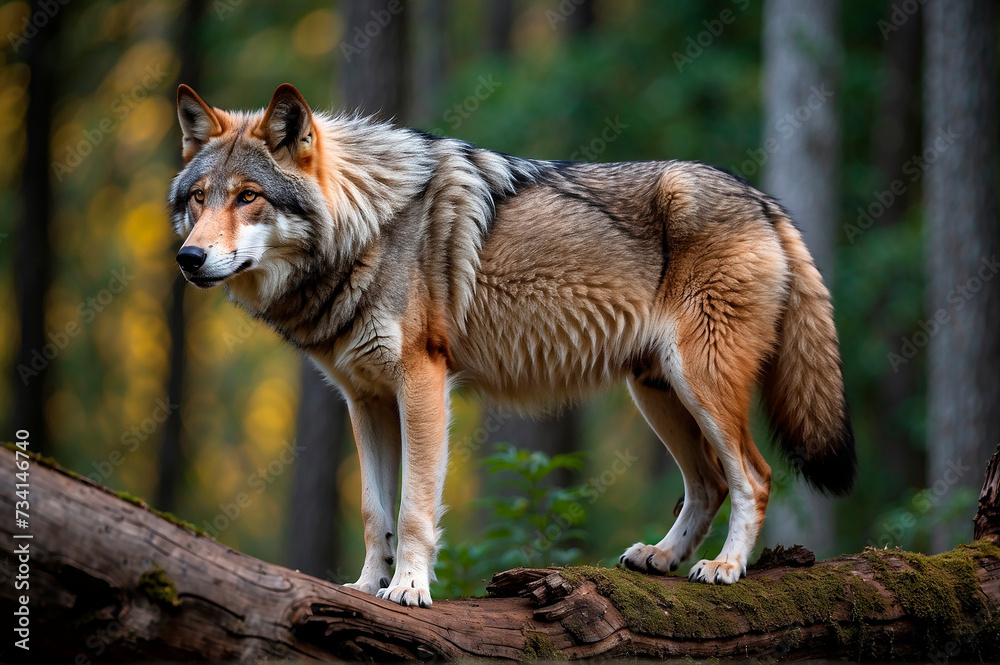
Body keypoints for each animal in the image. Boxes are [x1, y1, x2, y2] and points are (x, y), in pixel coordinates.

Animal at [169, 83, 855, 607]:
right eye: (199, 199)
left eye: (248, 196)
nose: (188, 258)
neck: (368, 226)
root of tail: (763, 199)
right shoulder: (365, 402)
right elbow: (373, 513)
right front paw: (366, 589)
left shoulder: (422, 383)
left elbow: (414, 509)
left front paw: (409, 590)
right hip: (657, 392)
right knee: (708, 484)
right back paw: (661, 557)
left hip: (700, 386)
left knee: (754, 477)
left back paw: (725, 568)